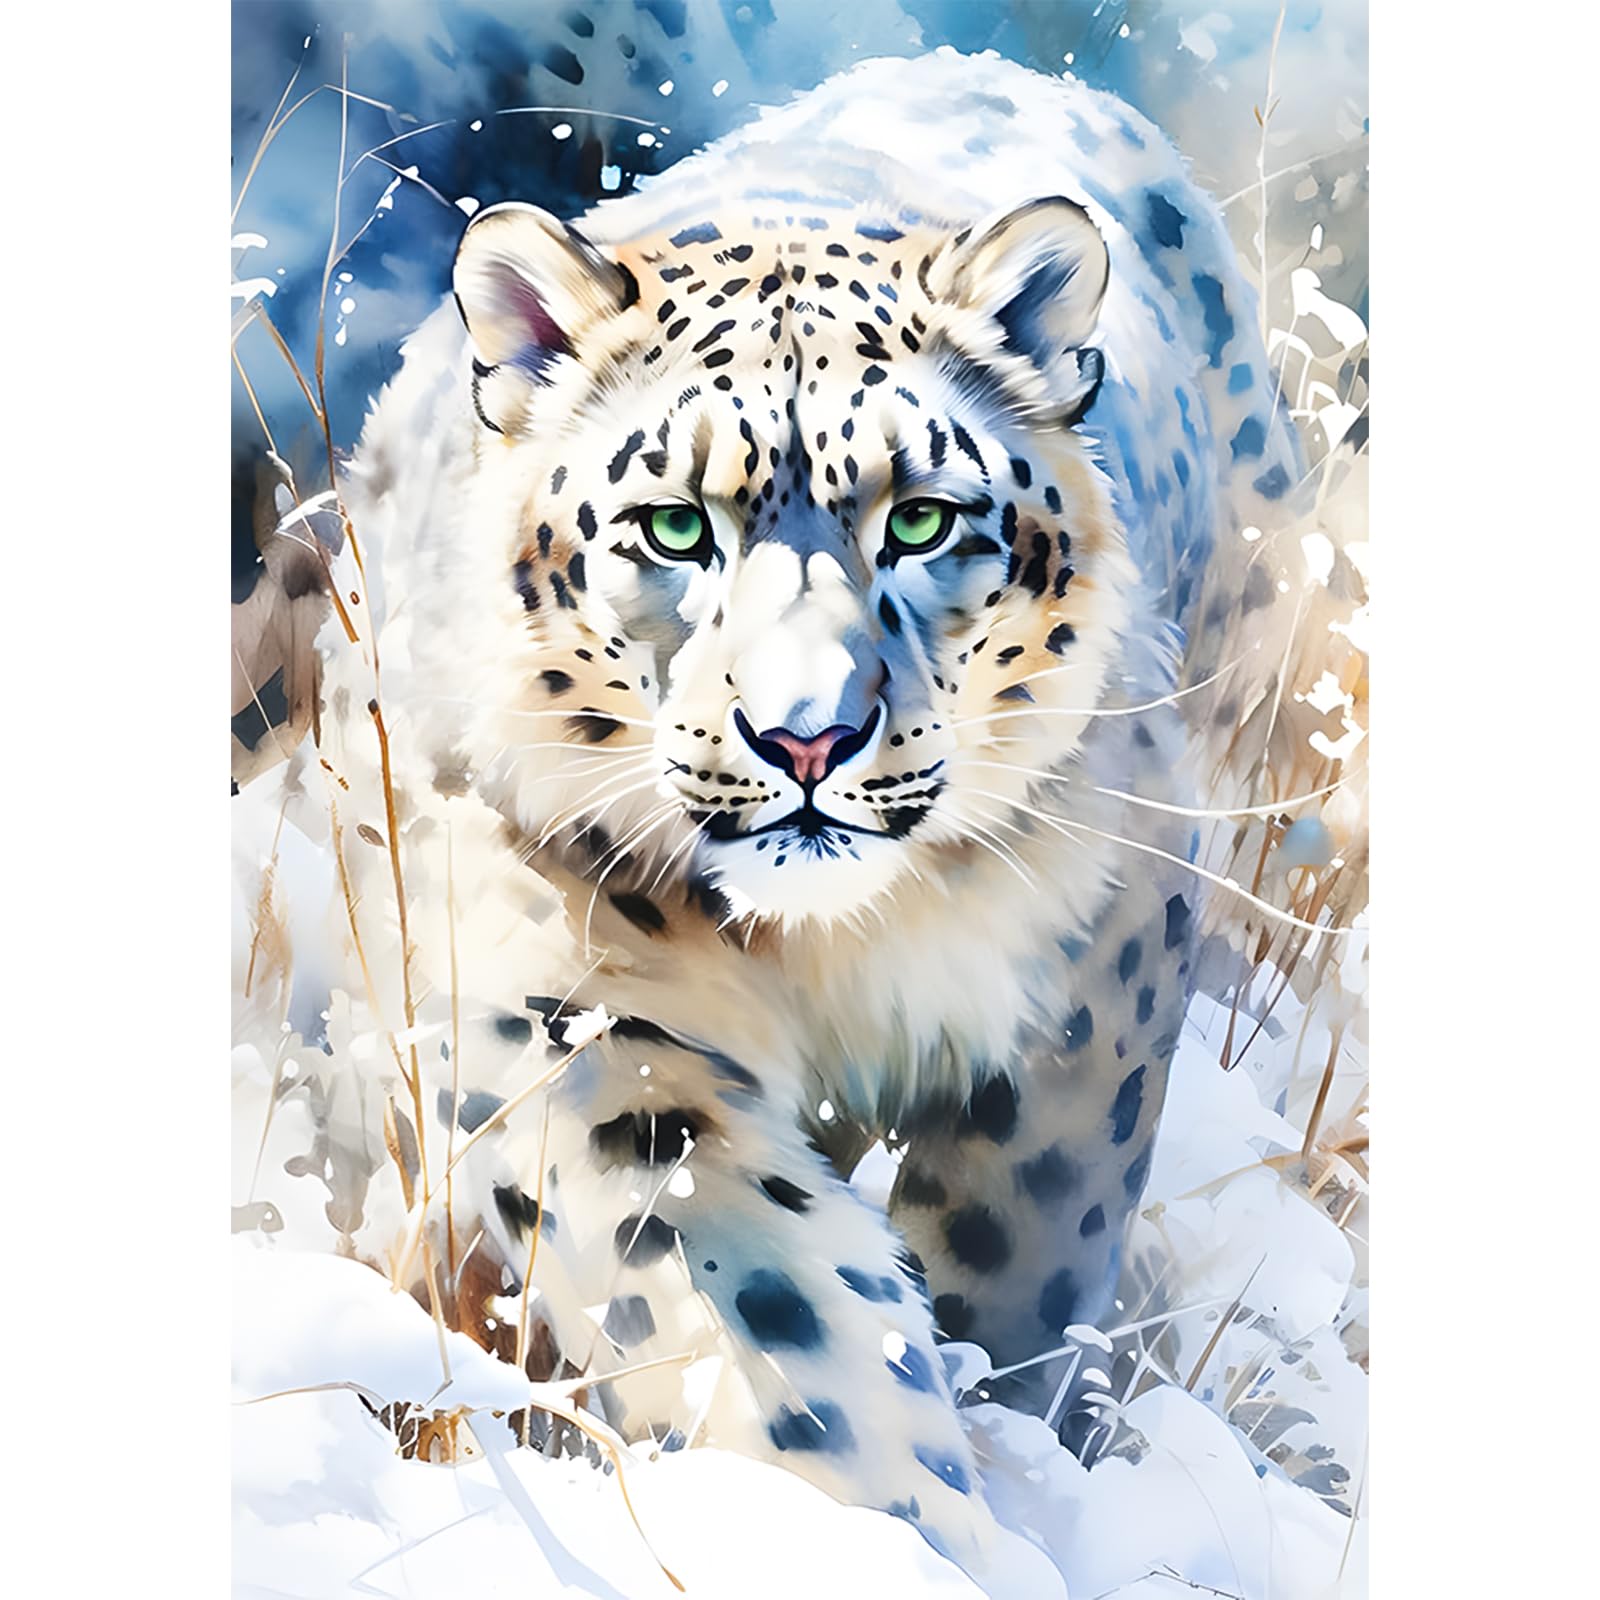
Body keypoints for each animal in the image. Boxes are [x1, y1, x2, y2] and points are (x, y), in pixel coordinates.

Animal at [271, 47, 1305, 1587]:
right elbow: (759, 1289)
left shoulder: (1108, 945)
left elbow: (1022, 1237)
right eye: (672, 526)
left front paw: (995, 1442)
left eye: (923, 519)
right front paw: (883, 1528)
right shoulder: (570, 1004)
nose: (807, 734)